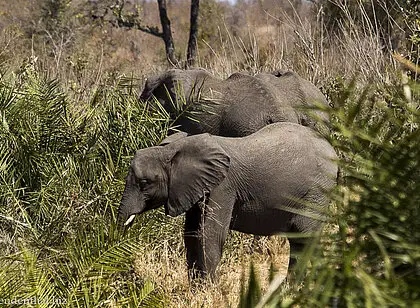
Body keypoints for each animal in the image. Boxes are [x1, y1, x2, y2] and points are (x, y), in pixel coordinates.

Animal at [118, 122, 338, 280]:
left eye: (144, 183)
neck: (172, 149)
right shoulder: (197, 187)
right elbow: (191, 234)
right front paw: (198, 290)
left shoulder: (223, 187)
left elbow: (210, 234)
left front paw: (210, 290)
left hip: (317, 191)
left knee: (304, 236)